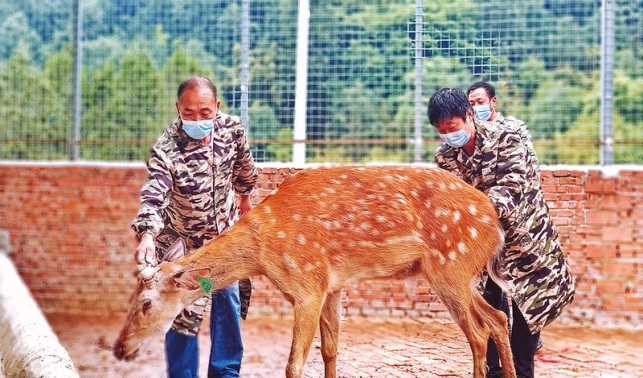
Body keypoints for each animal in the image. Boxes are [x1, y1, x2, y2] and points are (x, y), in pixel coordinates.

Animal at [115, 166, 516, 378]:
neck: (263, 250)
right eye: (131, 297)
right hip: (460, 273)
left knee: (478, 332)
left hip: (450, 267)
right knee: (497, 318)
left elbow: (294, 364)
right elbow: (331, 350)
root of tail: (495, 223)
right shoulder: (333, 285)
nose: (119, 347)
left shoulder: (308, 283)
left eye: (146, 303)